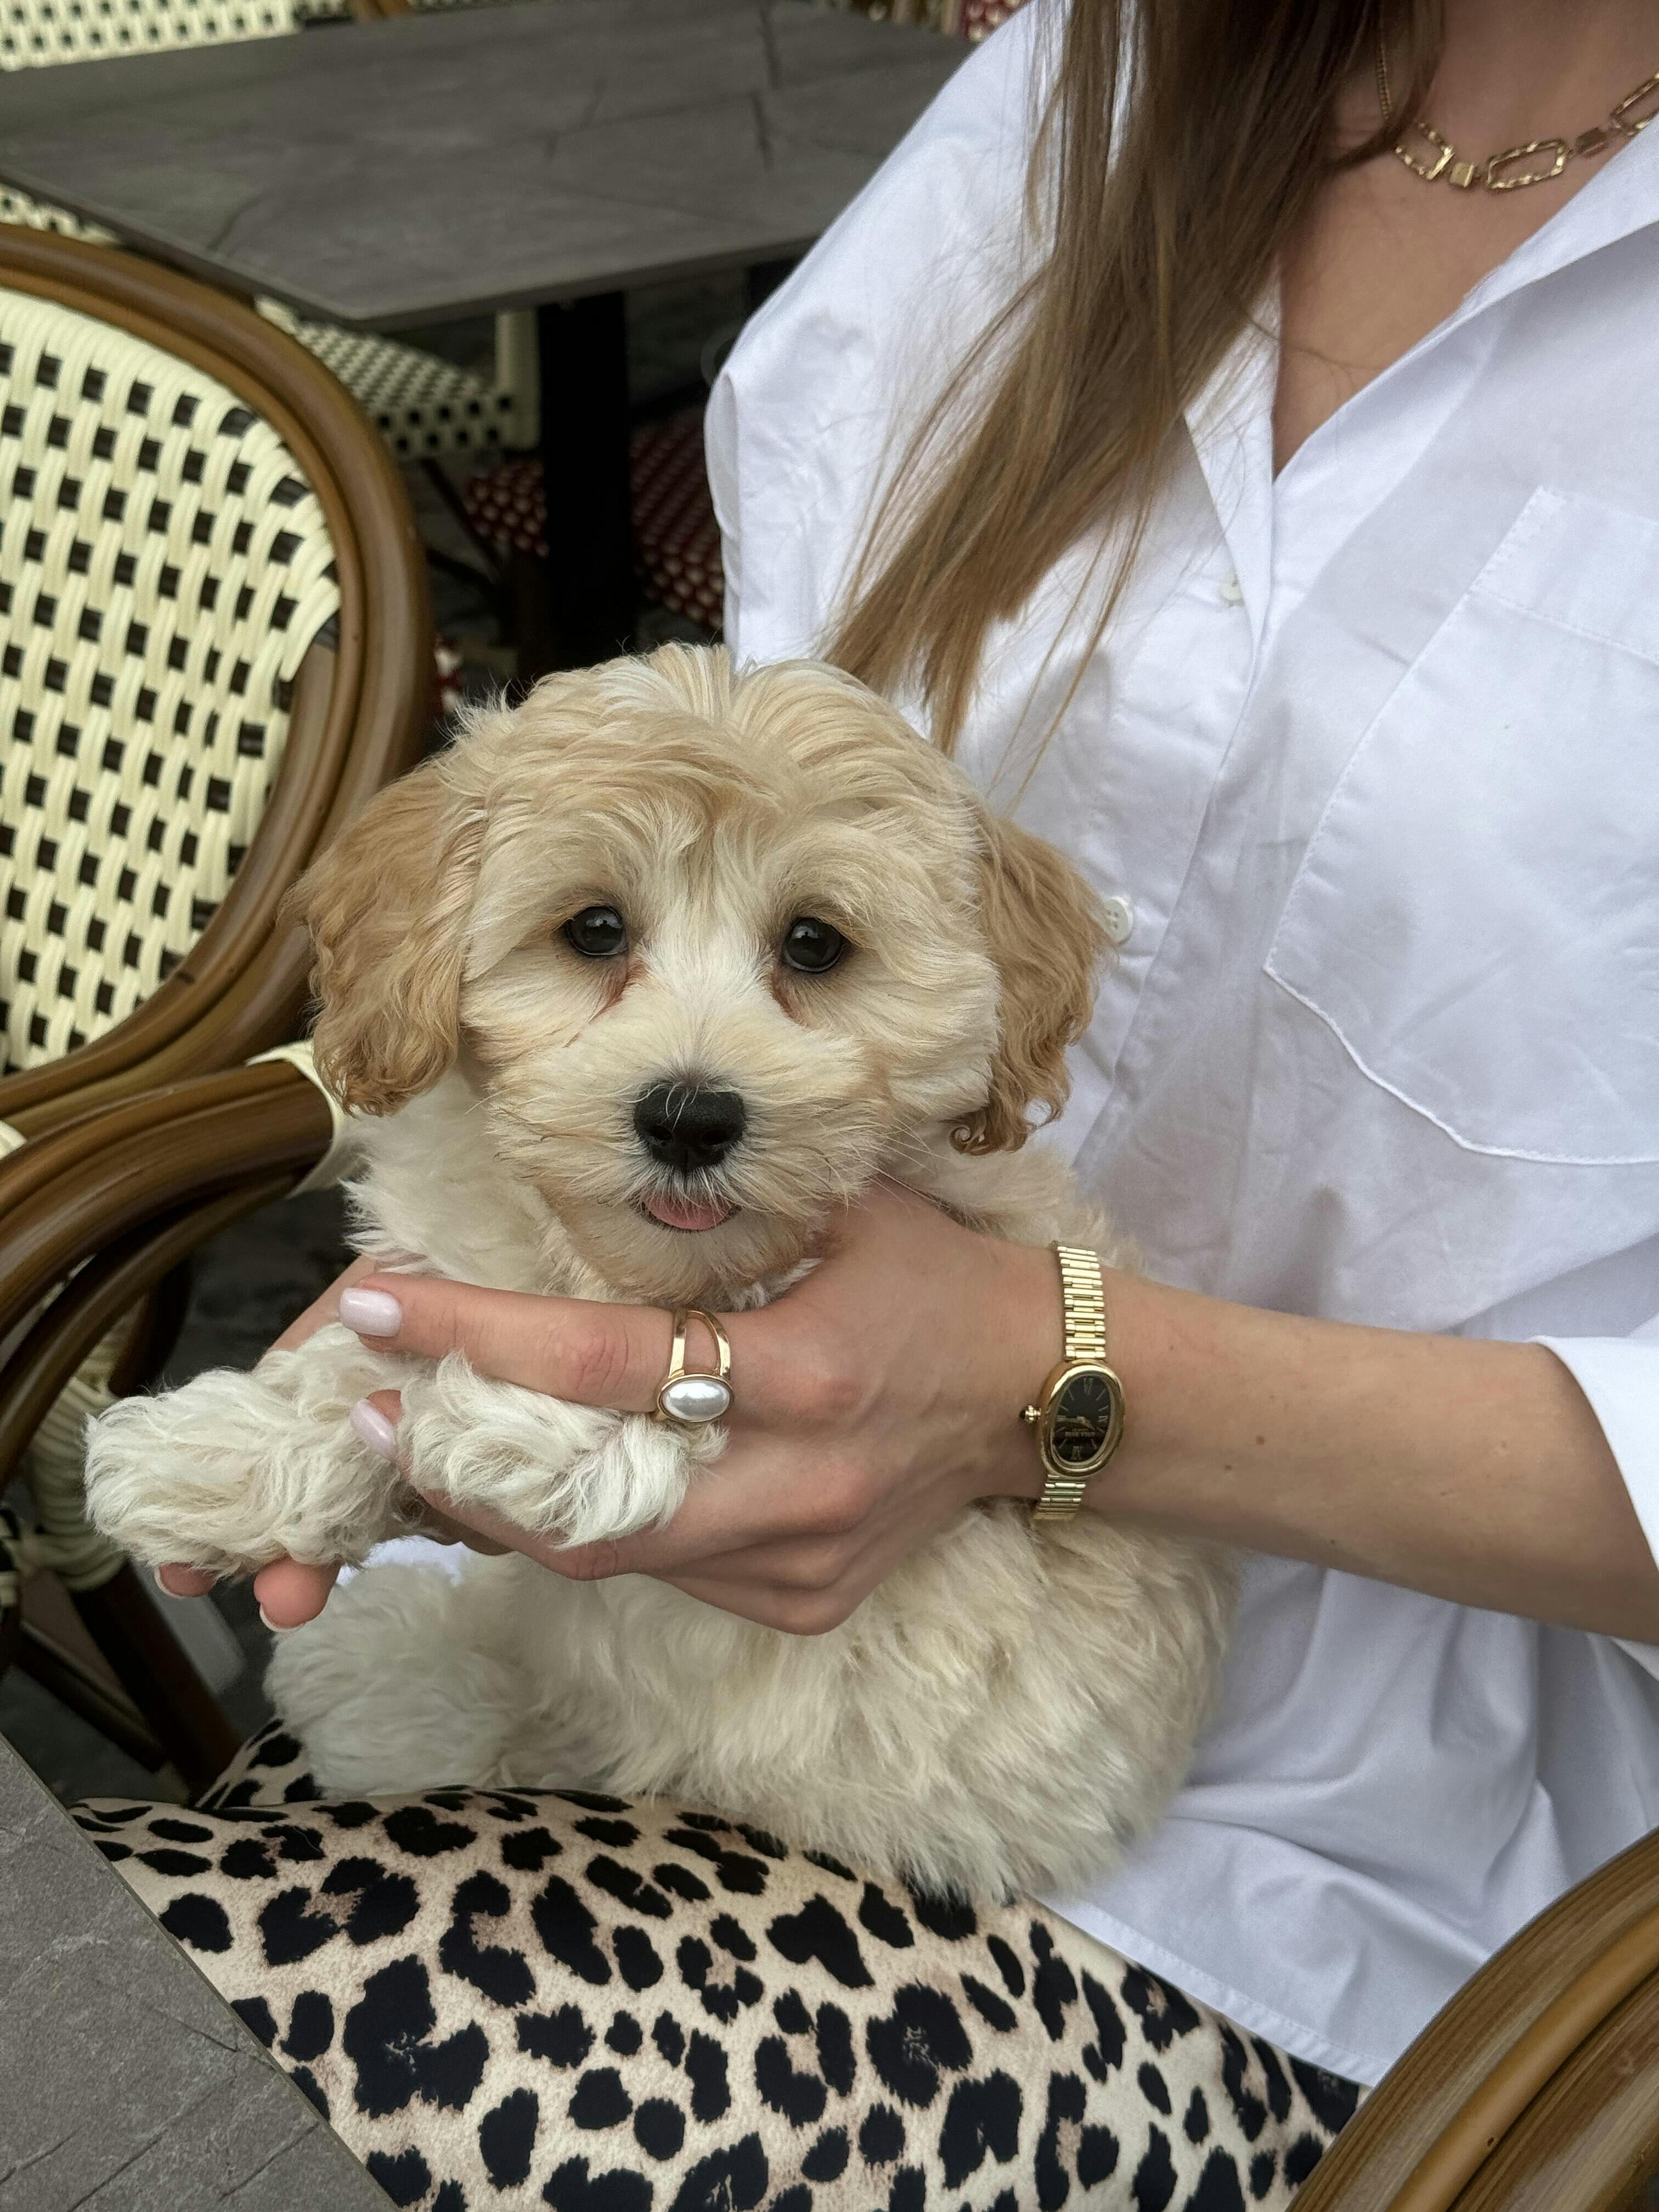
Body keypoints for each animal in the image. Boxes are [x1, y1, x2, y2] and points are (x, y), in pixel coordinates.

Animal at [86, 645, 1231, 1899]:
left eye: (814, 943)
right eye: (594, 928)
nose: (689, 1117)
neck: (594, 1257)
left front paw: (513, 1419)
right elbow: (361, 1367)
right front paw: (218, 1453)